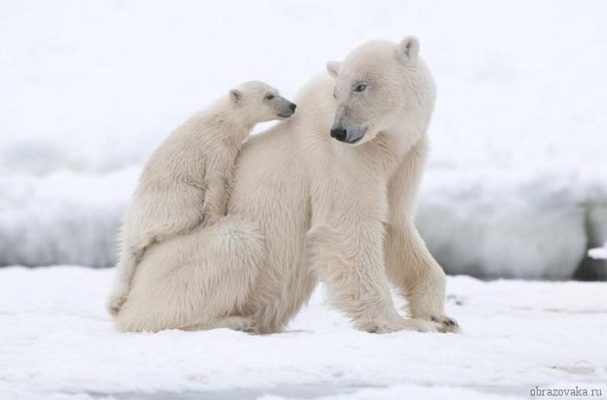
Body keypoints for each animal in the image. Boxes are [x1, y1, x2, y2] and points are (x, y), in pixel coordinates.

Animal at [114, 38, 458, 334]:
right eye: (337, 92)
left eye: (361, 86)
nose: (340, 131)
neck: (385, 143)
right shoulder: (340, 159)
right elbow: (348, 226)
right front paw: (404, 323)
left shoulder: (403, 159)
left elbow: (396, 226)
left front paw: (440, 317)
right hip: (179, 262)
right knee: (234, 242)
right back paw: (235, 320)